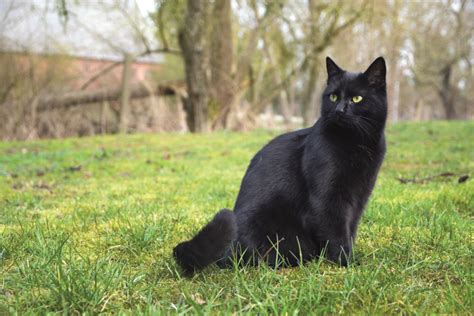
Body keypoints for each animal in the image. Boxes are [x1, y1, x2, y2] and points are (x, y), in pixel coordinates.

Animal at [172, 58, 386, 276]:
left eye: (357, 98)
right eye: (333, 96)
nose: (339, 110)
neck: (355, 143)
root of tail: (226, 253)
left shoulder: (358, 198)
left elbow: (350, 229)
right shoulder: (328, 198)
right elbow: (336, 232)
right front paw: (345, 263)